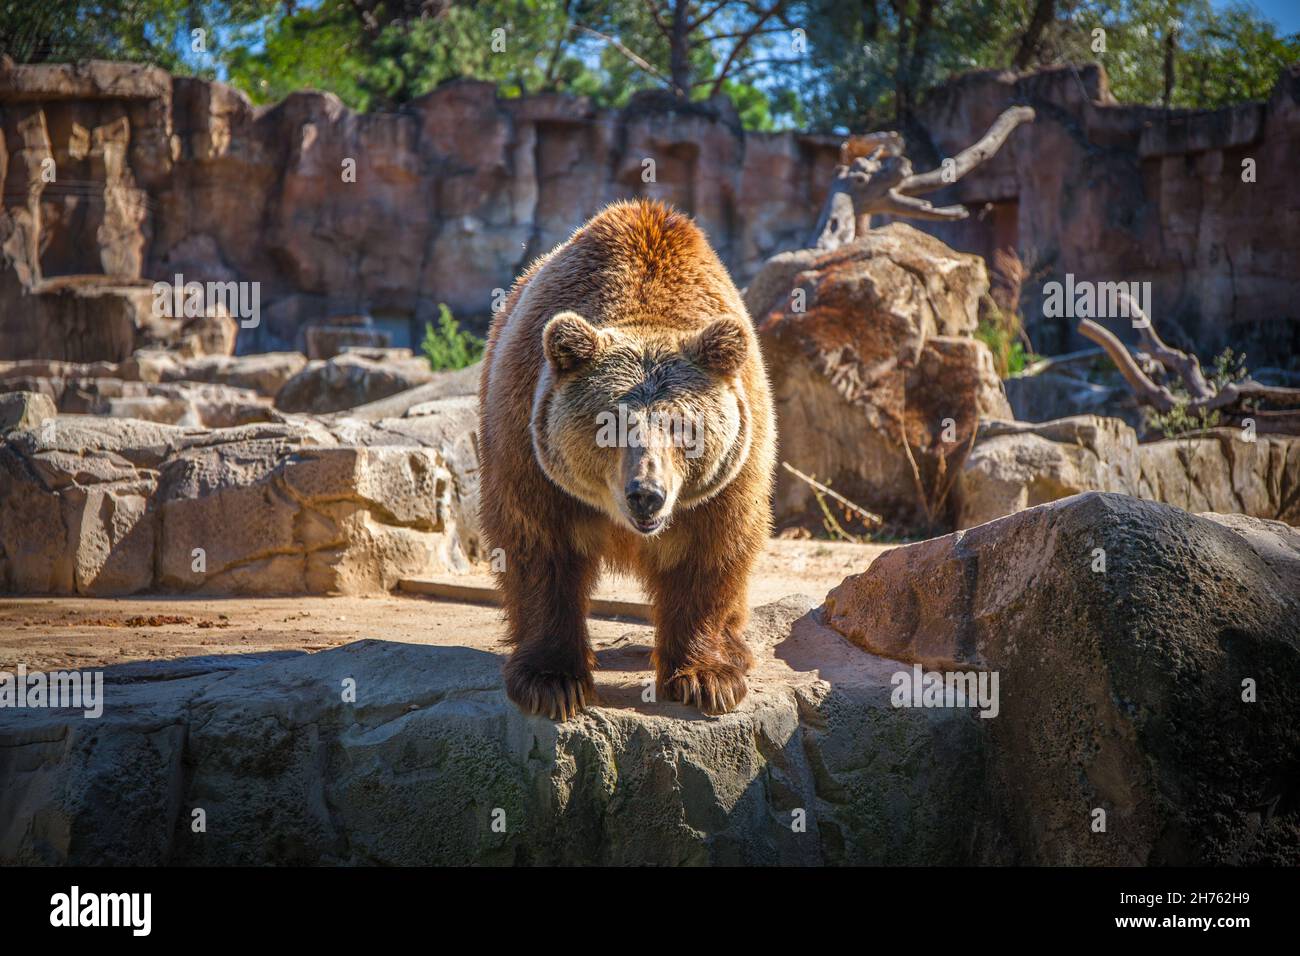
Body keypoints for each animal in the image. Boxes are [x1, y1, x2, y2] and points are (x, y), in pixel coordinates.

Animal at [478, 198, 776, 720]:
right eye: (609, 424)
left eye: (683, 426)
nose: (646, 495)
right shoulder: (528, 452)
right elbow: (538, 547)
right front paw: (553, 681)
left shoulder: (732, 472)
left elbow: (712, 555)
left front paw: (706, 678)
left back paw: (738, 650)